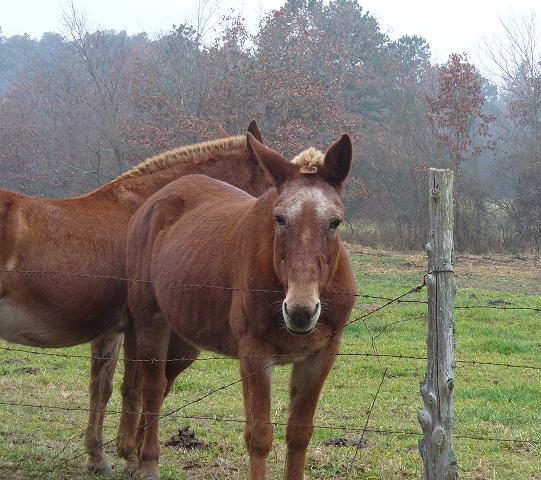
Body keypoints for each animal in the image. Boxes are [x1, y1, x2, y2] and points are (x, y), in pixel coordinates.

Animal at [0, 122, 268, 474]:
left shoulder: (111, 332)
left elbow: (101, 388)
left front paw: (98, 455)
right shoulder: (138, 326)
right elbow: (134, 387)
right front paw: (130, 454)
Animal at [124, 132, 356, 480]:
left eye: (335, 222)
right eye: (279, 218)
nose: (300, 311)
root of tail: (154, 201)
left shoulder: (321, 355)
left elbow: (299, 433)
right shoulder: (255, 352)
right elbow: (259, 436)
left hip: (183, 339)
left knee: (162, 384)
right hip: (150, 321)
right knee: (151, 388)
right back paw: (147, 462)